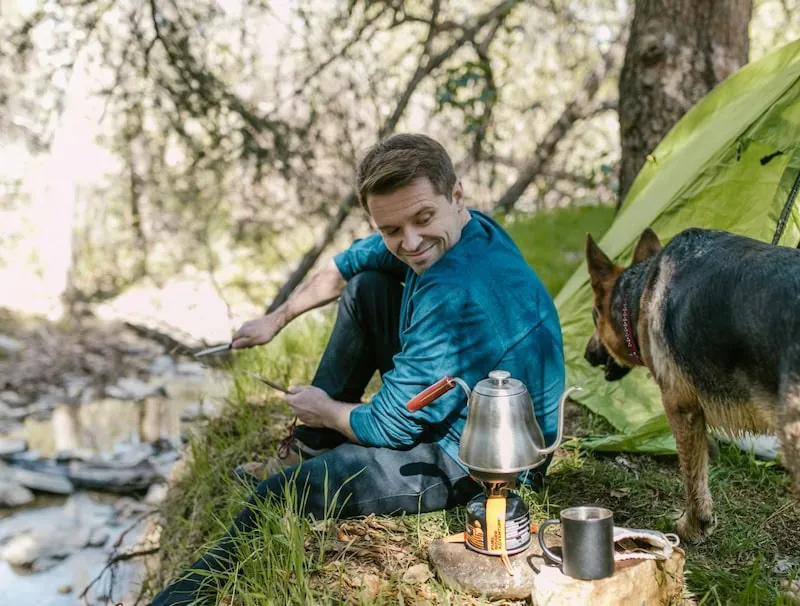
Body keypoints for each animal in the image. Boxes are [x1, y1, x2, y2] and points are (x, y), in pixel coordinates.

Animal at [580, 227, 800, 540]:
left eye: (593, 315)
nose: (587, 355)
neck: (642, 289)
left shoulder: (681, 407)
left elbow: (693, 474)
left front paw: (693, 525)